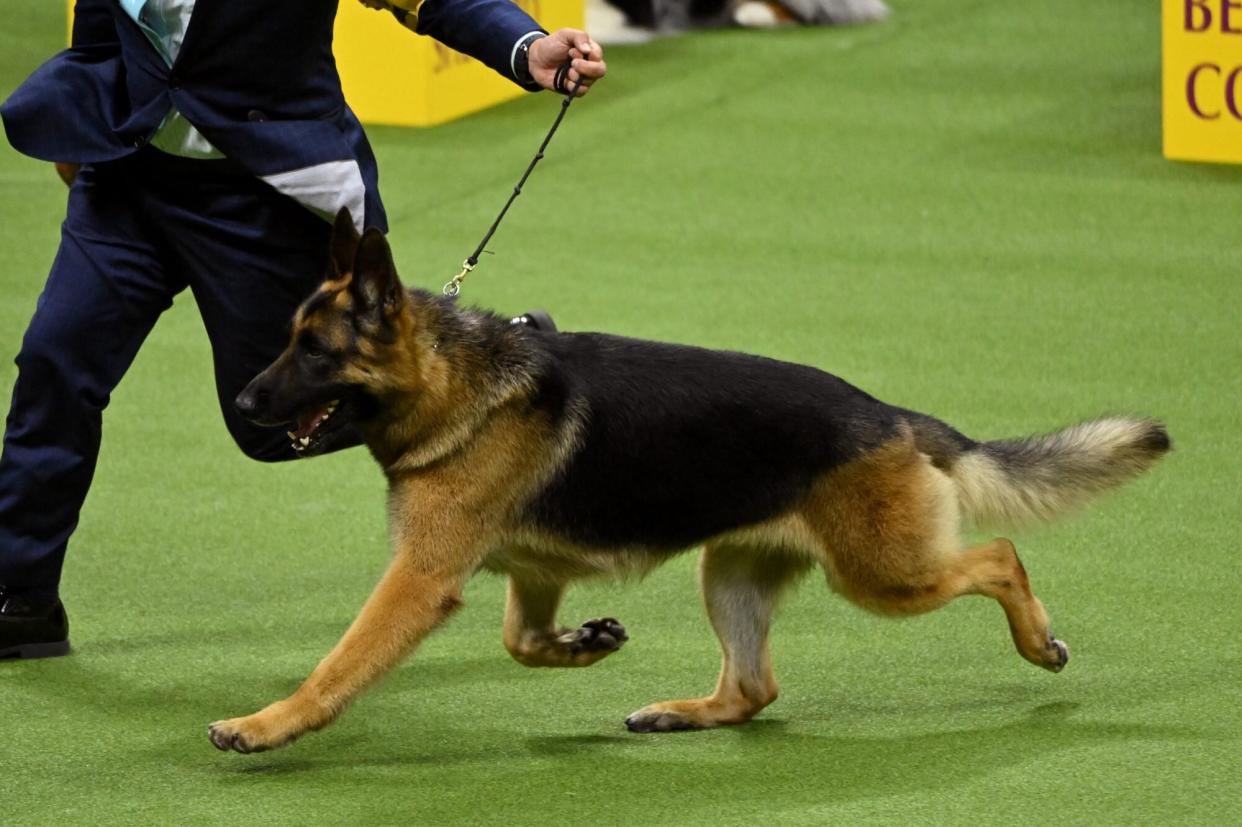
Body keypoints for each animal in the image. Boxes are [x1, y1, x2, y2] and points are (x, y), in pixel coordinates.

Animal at [208, 209, 1167, 750]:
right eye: (289, 338)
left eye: (314, 352)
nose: (244, 400)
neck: (457, 381)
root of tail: (889, 414)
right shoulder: (532, 573)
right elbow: (522, 640)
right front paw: (584, 642)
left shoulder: (419, 578)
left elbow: (340, 663)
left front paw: (268, 723)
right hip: (733, 573)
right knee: (753, 689)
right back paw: (680, 712)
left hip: (884, 575)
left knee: (999, 555)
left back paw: (1039, 643)